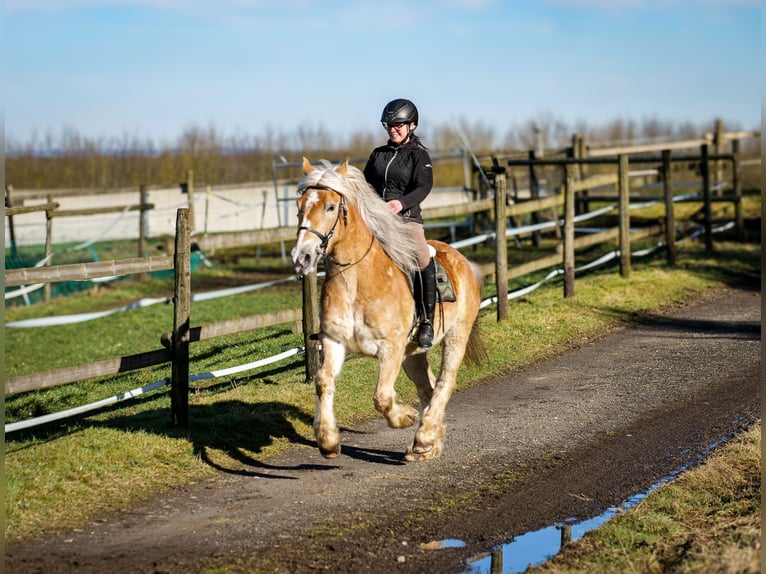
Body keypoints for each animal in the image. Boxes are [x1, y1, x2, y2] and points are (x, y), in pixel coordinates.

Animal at [292, 158, 484, 464]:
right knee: (428, 387)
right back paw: (428, 444)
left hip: (456, 336)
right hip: (412, 354)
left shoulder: (390, 347)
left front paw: (405, 417)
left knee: (444, 383)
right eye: (299, 206)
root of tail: (463, 261)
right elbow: (323, 381)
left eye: (331, 207)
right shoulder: (334, 341)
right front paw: (328, 441)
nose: (302, 257)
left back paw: (424, 436)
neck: (357, 281)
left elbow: (382, 396)